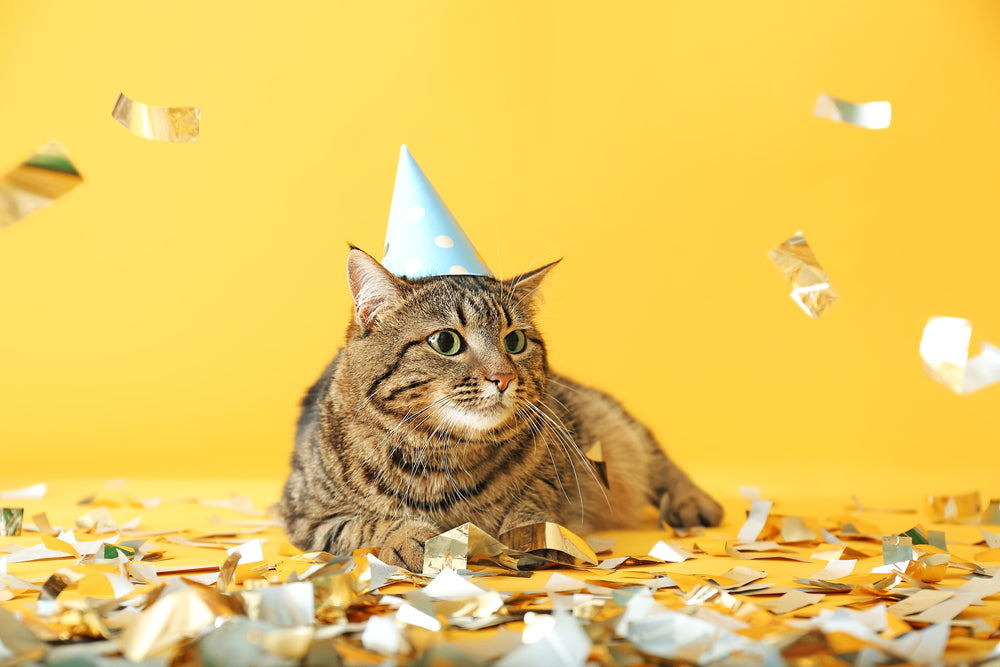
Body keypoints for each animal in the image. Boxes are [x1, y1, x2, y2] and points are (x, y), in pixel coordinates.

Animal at [278, 248, 724, 572]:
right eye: (445, 342)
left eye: (515, 341)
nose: (504, 377)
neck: (441, 455)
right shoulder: (304, 515)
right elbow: (362, 525)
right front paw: (411, 538)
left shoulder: (558, 472)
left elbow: (534, 506)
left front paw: (531, 536)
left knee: (654, 454)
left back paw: (694, 503)